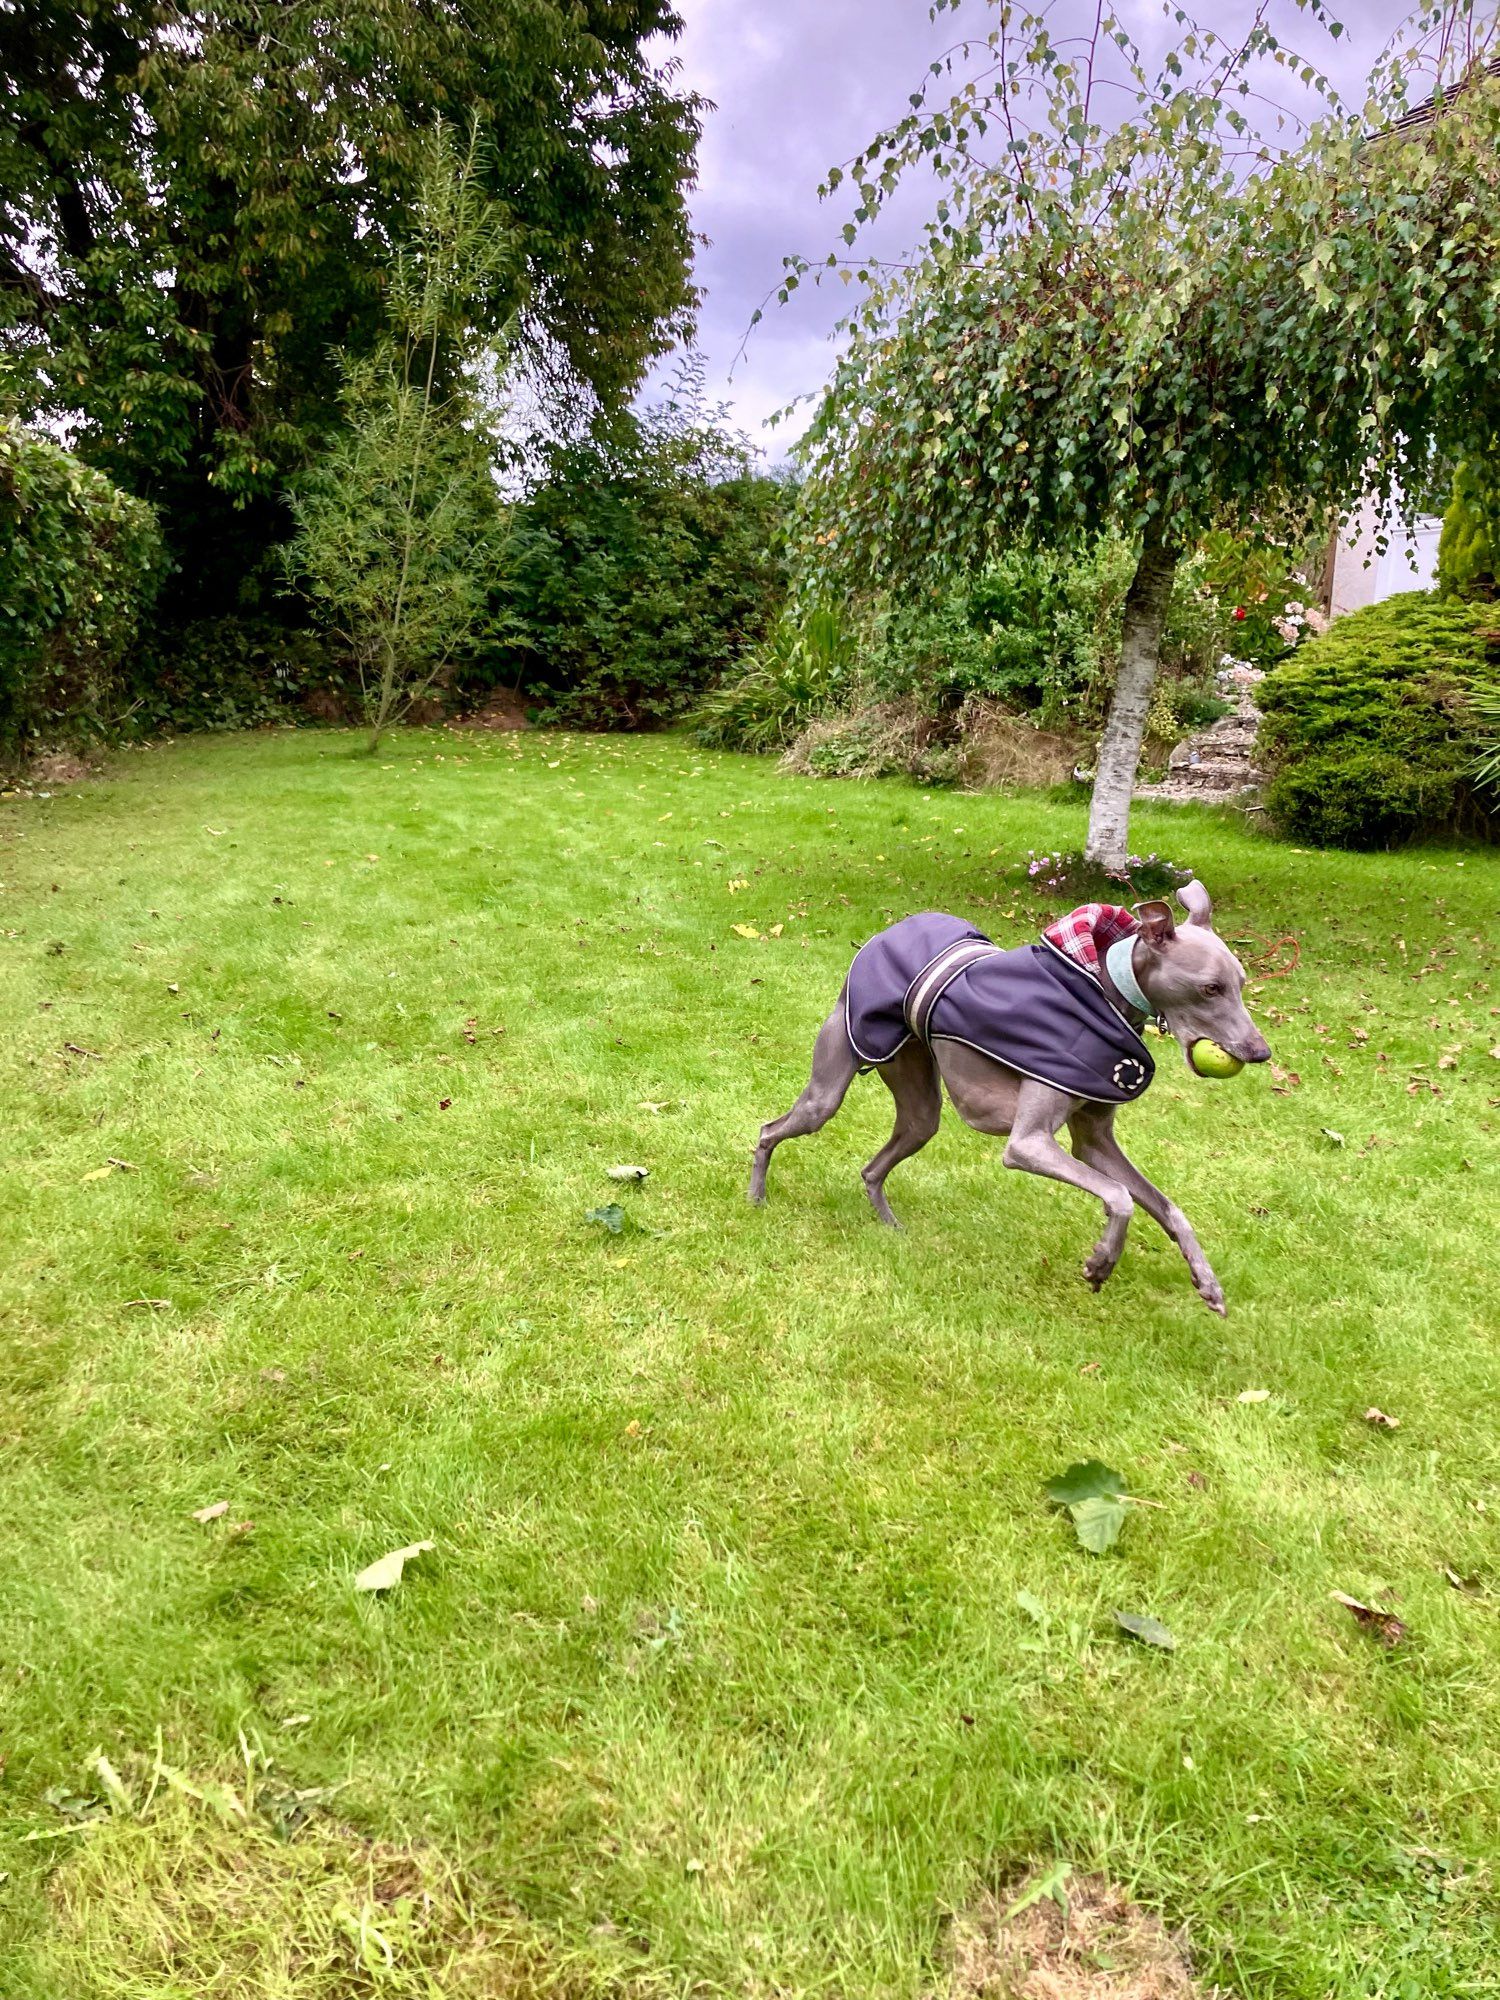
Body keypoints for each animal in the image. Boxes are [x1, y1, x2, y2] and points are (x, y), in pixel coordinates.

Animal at [748, 884, 1272, 1320]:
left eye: (1241, 983)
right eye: (1209, 988)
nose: (1260, 1052)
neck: (1100, 985)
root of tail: (882, 937)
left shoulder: (1094, 1140)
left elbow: (1166, 1206)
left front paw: (1206, 1282)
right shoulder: (1028, 1143)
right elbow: (1120, 1197)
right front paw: (1102, 1261)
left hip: (919, 1109)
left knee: (874, 1168)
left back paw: (892, 1229)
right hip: (828, 1091)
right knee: (769, 1130)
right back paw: (756, 1199)